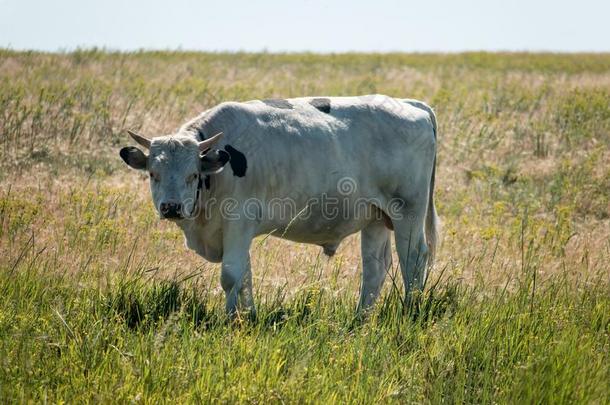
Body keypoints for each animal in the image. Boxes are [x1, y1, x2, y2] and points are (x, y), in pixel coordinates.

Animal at [119, 94, 436, 316]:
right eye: (153, 174)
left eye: (192, 175)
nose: (171, 207)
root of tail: (409, 103)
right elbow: (244, 276)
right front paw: (248, 316)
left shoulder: (238, 222)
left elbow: (231, 276)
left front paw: (230, 319)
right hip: (376, 216)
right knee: (375, 268)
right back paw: (361, 317)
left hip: (408, 211)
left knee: (414, 258)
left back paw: (411, 309)